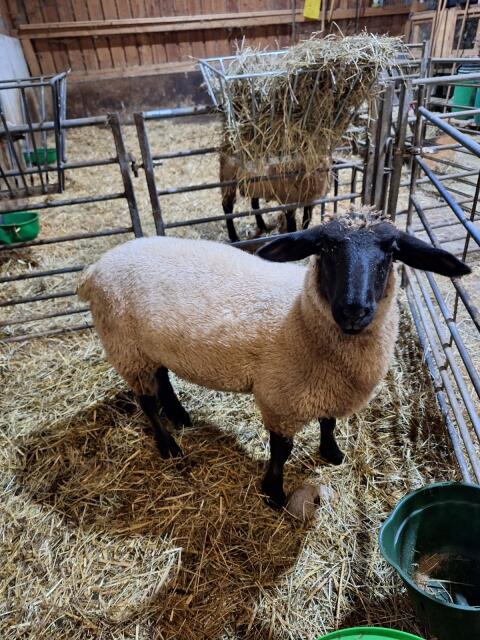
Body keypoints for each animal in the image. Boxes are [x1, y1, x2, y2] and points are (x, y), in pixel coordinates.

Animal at [77, 211, 470, 509]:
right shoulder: (280, 398)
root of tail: (95, 267)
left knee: (161, 378)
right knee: (145, 399)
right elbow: (282, 450)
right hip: (125, 346)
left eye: (391, 252)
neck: (300, 318)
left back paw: (179, 415)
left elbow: (329, 422)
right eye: (326, 247)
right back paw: (168, 444)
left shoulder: (326, 387)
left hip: (147, 347)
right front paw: (274, 493)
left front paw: (332, 453)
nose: (353, 310)